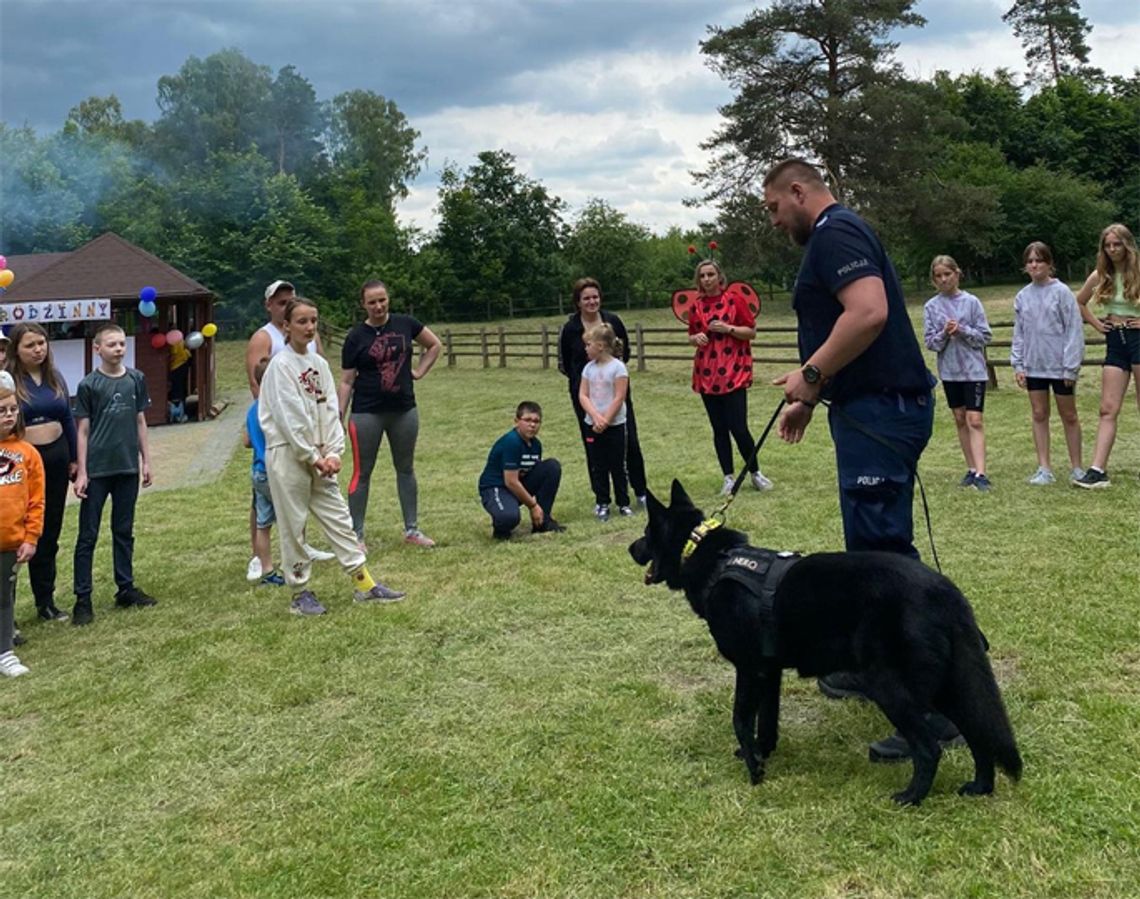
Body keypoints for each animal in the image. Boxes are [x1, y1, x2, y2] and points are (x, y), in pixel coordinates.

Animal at [633, 480, 1026, 802]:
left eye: (646, 532)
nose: (629, 549)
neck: (708, 556)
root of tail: (945, 592)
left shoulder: (749, 669)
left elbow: (741, 719)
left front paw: (754, 770)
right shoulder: (769, 673)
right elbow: (767, 721)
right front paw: (762, 753)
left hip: (890, 686)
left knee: (930, 748)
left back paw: (911, 797)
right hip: (946, 684)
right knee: (978, 736)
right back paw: (980, 787)